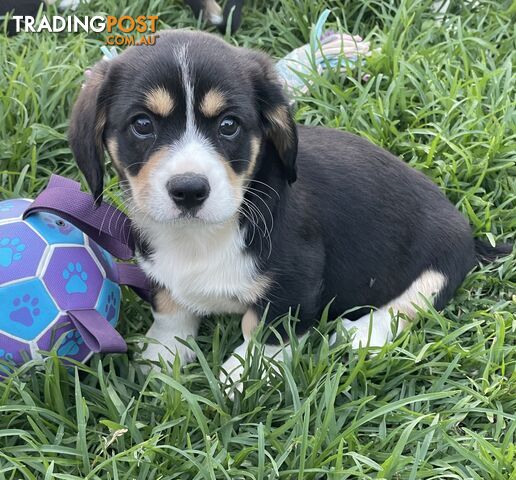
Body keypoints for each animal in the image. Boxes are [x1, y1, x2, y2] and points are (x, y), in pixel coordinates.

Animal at [68, 30, 512, 388]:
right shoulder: (160, 270)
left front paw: (240, 379)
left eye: (229, 125)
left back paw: (362, 333)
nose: (189, 190)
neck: (201, 235)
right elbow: (170, 309)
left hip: (438, 264)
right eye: (142, 124)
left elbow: (262, 332)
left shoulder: (294, 282)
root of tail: (469, 235)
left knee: (410, 304)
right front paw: (162, 356)